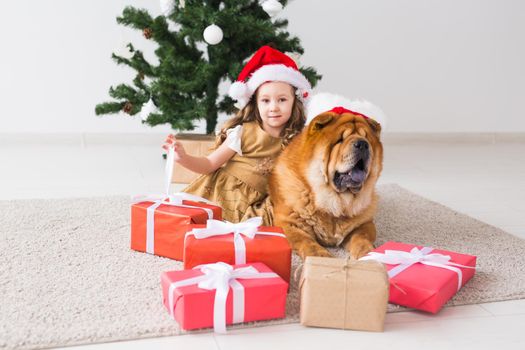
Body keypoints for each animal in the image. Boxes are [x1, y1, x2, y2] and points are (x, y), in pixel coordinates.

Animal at [268, 104, 382, 260]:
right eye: (340, 140)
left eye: (367, 139)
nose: (362, 144)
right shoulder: (289, 223)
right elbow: (307, 242)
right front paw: (321, 257)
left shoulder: (365, 223)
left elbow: (362, 238)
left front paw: (369, 255)